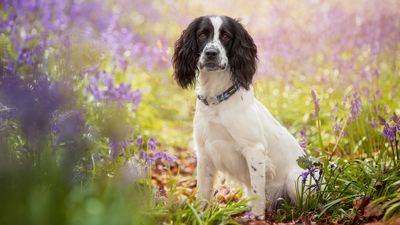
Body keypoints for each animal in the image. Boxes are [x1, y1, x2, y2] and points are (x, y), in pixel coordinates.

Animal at [170, 14, 304, 219]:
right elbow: (202, 194)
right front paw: (200, 216)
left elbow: (258, 196)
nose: (211, 53)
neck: (216, 101)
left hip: (295, 179)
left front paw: (257, 219)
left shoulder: (254, 150)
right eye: (202, 34)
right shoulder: (204, 153)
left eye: (226, 36)